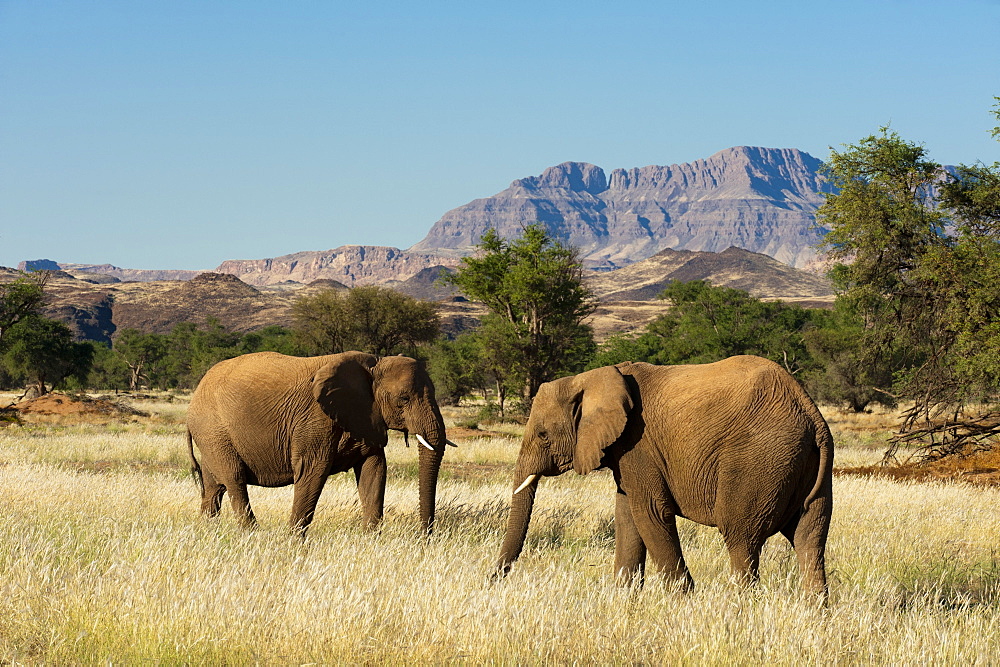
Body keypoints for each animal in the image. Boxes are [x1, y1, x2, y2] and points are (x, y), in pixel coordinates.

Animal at [186, 352, 452, 536]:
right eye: (403, 399)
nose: (424, 538)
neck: (374, 363)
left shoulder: (368, 418)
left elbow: (374, 471)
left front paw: (370, 541)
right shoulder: (315, 420)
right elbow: (312, 471)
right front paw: (293, 544)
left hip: (211, 436)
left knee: (214, 489)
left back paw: (207, 532)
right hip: (213, 430)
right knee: (235, 481)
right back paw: (253, 536)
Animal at [496, 358, 832, 596]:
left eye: (543, 435)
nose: (493, 579)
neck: (590, 378)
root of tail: (811, 414)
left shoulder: (638, 444)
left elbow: (650, 513)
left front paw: (683, 603)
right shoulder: (627, 453)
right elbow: (627, 516)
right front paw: (624, 601)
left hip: (757, 461)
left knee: (741, 540)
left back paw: (738, 612)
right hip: (806, 469)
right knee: (810, 540)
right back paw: (815, 615)